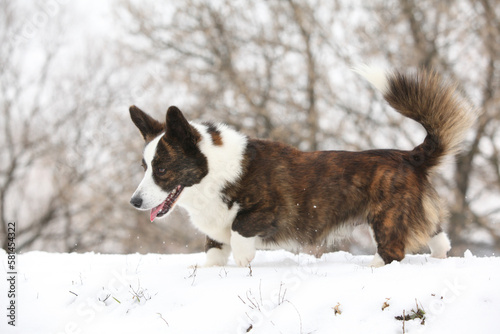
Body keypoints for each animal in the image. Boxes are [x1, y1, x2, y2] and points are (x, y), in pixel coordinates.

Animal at [129, 67, 476, 266]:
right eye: (144, 166)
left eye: (161, 169)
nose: (134, 202)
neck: (213, 172)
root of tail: (410, 156)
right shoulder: (215, 237)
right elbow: (213, 256)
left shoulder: (273, 211)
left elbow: (240, 230)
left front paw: (244, 263)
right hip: (416, 217)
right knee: (439, 237)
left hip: (386, 221)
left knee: (394, 252)